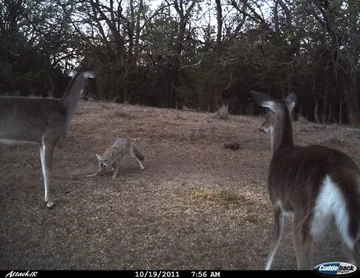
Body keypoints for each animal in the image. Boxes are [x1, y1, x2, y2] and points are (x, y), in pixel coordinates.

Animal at [0, 69, 96, 208]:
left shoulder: (41, 142)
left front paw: (46, 198)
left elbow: (42, 169)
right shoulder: (50, 138)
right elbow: (48, 170)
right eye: (88, 82)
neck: (65, 110)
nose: (90, 95)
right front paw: (50, 202)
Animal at [250, 90, 360, 270]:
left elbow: (275, 242)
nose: (261, 128)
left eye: (267, 112)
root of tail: (339, 173)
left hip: (304, 218)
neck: (280, 150)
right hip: (347, 228)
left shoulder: (277, 202)